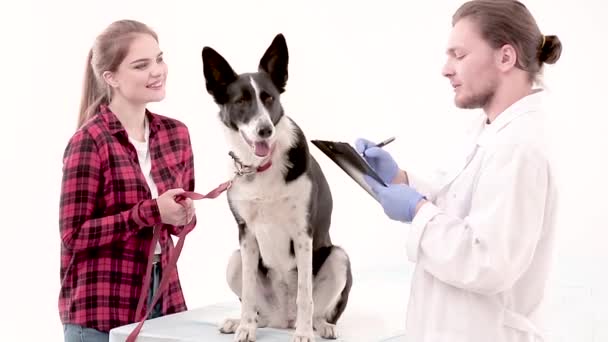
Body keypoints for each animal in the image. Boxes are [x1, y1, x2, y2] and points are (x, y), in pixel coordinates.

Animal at [201, 32, 352, 342]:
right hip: (235, 259)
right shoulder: (246, 234)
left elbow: (305, 294)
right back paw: (243, 321)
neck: (260, 167)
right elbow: (248, 293)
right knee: (259, 311)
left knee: (318, 309)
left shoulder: (303, 233)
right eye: (240, 101)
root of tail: (282, 320)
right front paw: (245, 328)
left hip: (339, 257)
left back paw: (320, 326)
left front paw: (304, 334)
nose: (265, 130)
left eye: (269, 98)